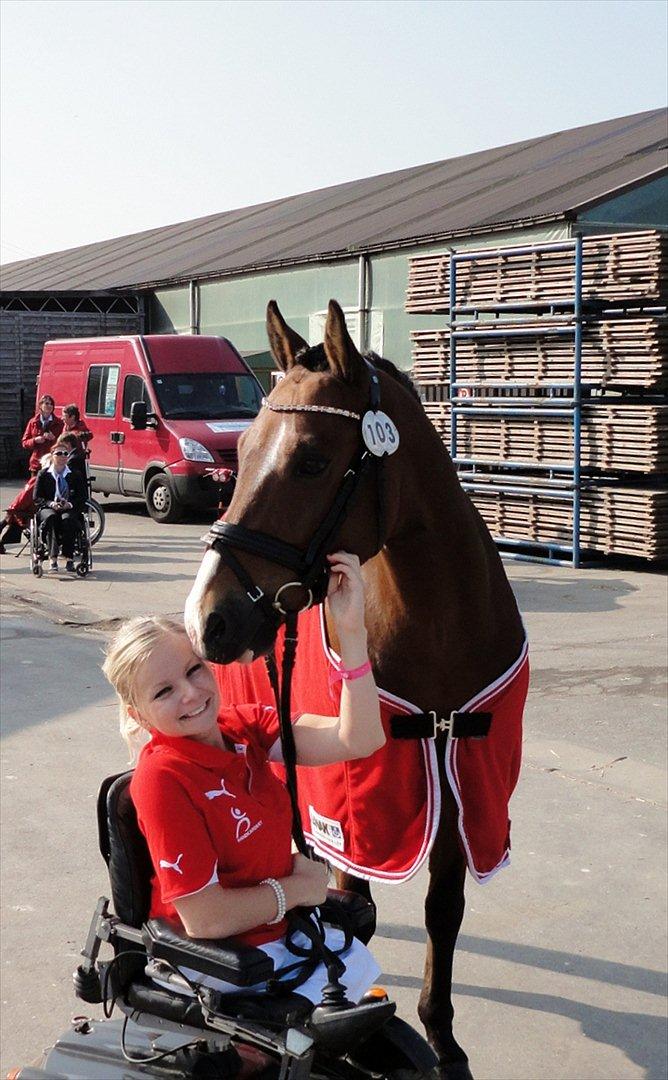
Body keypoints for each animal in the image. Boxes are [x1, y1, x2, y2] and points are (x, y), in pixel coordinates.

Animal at [184, 298, 528, 1080]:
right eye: (243, 451)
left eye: (312, 460)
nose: (210, 619)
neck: (440, 630)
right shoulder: (354, 808)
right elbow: (354, 912)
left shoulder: (459, 783)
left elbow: (442, 911)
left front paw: (443, 1040)